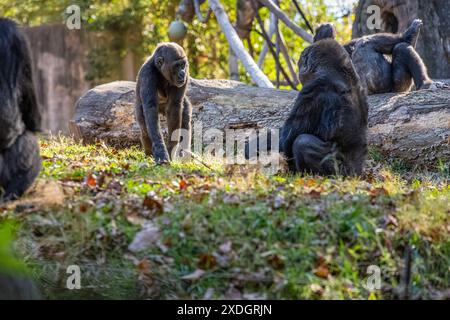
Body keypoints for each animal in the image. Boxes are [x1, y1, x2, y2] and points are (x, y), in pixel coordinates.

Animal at [282, 23, 370, 176]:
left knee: (302, 142)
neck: (338, 71)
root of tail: (355, 174)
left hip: (340, 172)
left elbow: (287, 138)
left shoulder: (313, 90)